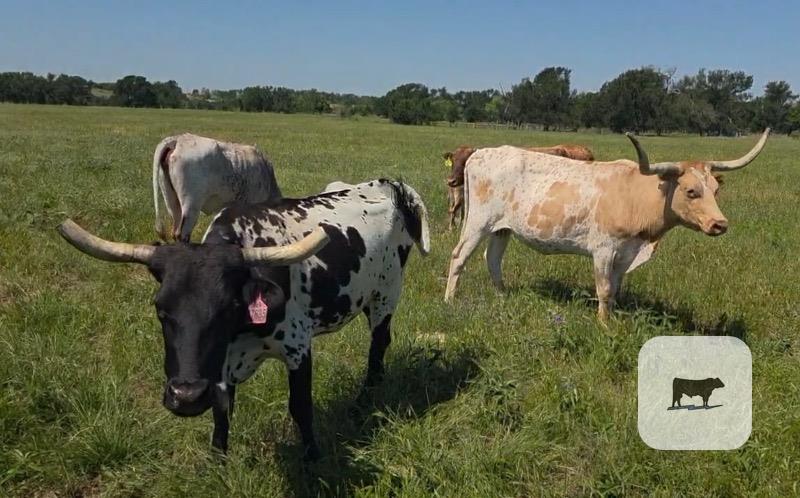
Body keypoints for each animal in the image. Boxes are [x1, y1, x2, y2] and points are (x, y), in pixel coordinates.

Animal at [58, 179, 430, 460]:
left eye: (227, 307)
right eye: (160, 309)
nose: (186, 397)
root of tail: (386, 184)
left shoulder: (298, 349)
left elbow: (301, 407)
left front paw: (313, 458)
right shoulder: (220, 364)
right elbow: (222, 409)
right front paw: (217, 463)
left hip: (386, 295)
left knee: (378, 345)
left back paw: (364, 400)